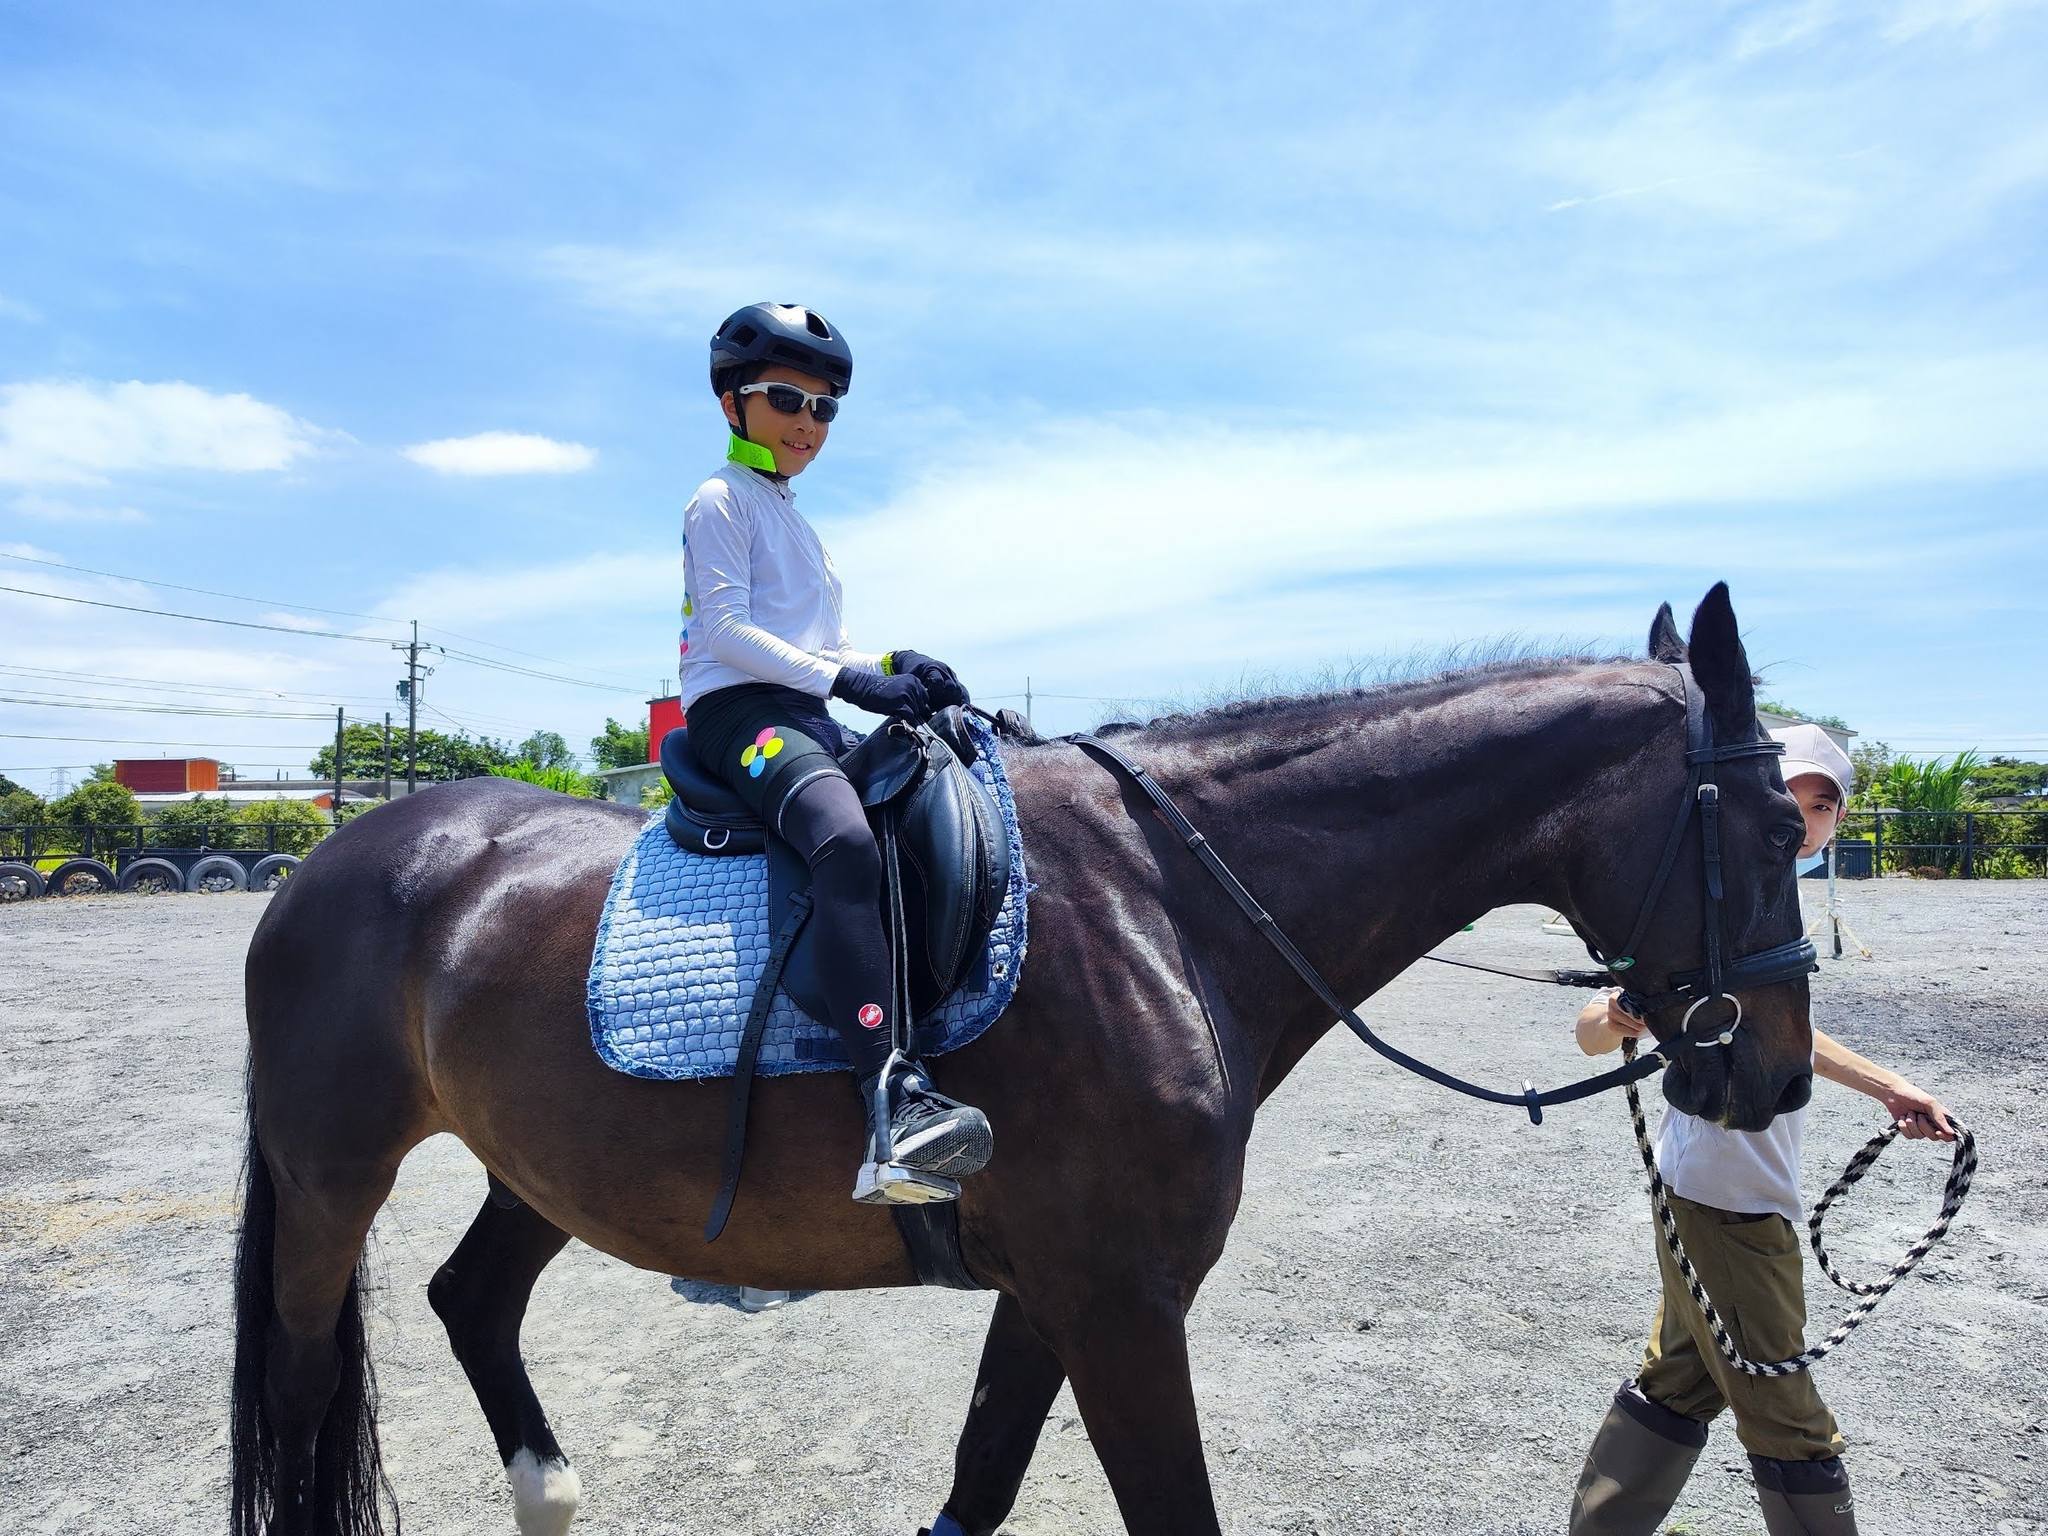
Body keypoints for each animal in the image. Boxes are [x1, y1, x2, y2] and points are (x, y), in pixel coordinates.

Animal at [229, 583, 1817, 1536]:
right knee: (304, 1382)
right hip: (329, 1176)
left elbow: (979, 1485)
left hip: (543, 1168)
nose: (1780, 1078)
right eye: (1774, 831)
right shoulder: (1116, 1300)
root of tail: (345, 855)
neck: (1171, 899)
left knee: (470, 1300)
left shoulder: (1060, 1291)